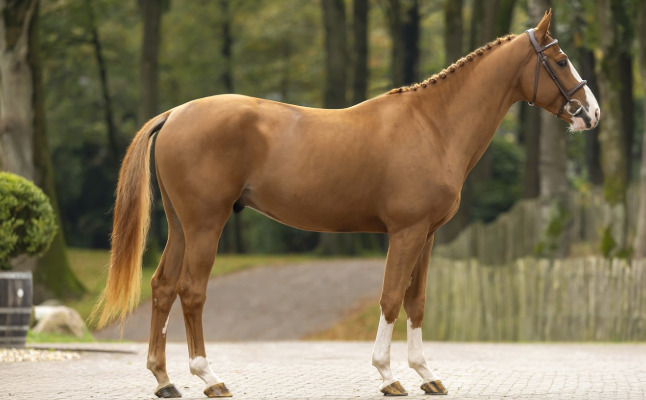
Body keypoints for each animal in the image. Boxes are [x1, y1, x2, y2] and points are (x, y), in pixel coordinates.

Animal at [93, 10, 599, 398]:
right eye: (560, 59)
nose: (592, 113)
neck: (433, 126)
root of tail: (175, 113)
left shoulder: (427, 236)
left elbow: (416, 301)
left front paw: (427, 374)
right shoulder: (405, 233)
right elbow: (391, 298)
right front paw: (388, 375)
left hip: (182, 226)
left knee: (162, 287)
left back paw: (165, 380)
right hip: (205, 225)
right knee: (191, 291)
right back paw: (210, 378)